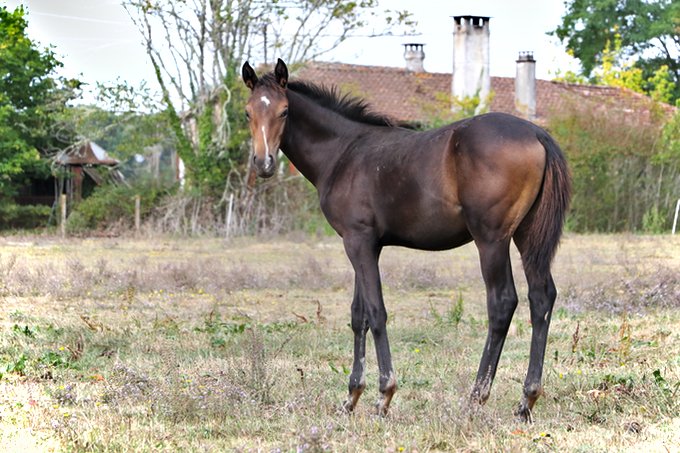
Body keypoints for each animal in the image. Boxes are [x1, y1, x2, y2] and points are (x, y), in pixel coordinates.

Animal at [241, 59, 571, 422]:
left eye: (285, 111)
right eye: (247, 112)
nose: (264, 163)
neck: (343, 153)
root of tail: (538, 133)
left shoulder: (357, 241)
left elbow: (376, 312)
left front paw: (384, 394)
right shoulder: (365, 244)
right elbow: (358, 315)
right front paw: (351, 397)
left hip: (491, 239)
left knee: (502, 303)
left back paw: (475, 398)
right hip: (528, 235)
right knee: (541, 298)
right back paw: (526, 400)